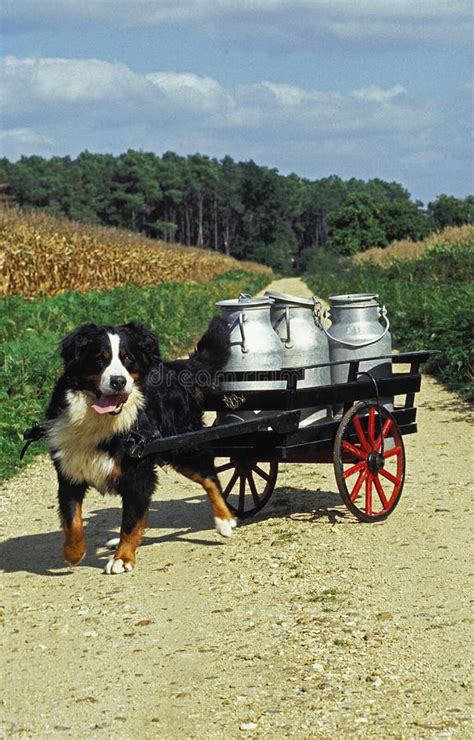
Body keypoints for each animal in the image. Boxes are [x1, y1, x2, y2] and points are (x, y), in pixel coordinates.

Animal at [45, 318, 235, 572]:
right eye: (100, 358)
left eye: (128, 358)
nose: (118, 381)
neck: (101, 423)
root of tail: (173, 368)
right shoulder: (70, 470)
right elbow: (72, 519)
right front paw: (73, 553)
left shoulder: (137, 474)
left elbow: (130, 521)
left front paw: (123, 558)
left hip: (183, 446)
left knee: (210, 478)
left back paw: (225, 520)